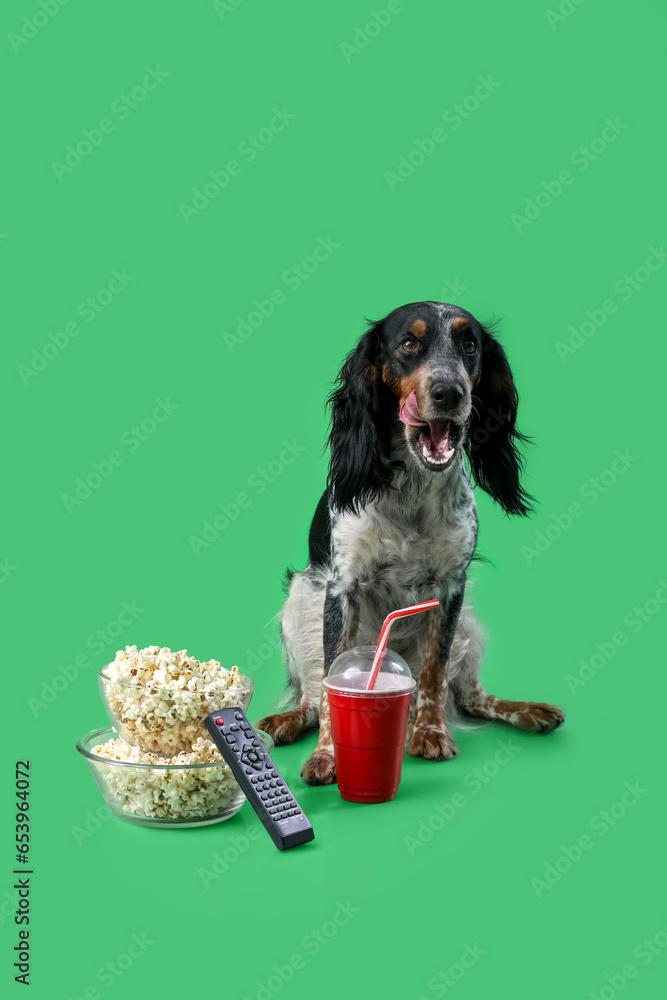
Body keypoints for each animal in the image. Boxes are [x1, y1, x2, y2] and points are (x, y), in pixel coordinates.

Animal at [256, 300, 564, 784]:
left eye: (470, 345)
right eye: (407, 344)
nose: (449, 392)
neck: (413, 490)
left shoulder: (451, 589)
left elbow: (436, 674)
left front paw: (431, 734)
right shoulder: (339, 591)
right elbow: (328, 683)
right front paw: (327, 754)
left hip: (470, 626)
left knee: (470, 696)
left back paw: (525, 711)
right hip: (300, 601)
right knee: (309, 694)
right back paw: (286, 721)